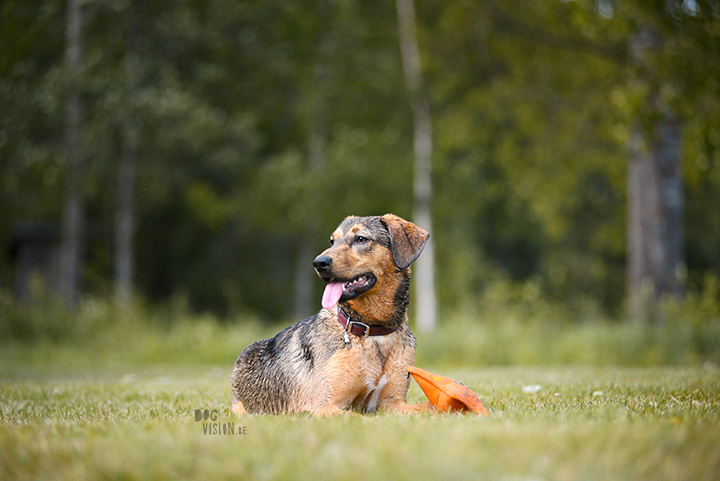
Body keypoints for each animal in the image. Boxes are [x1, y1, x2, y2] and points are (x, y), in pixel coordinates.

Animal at [231, 212, 434, 414]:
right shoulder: (326, 406)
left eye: (361, 239)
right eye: (332, 241)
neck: (372, 331)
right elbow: (359, 417)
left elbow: (428, 406)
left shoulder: (393, 403)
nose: (319, 263)